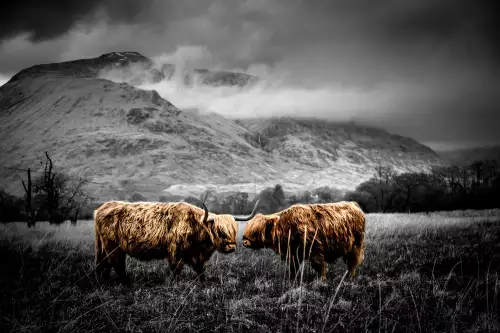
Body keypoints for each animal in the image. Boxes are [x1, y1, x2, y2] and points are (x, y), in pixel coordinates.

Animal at [94, 198, 260, 282]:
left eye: (233, 231)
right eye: (220, 231)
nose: (231, 247)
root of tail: (101, 208)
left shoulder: (195, 254)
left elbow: (199, 269)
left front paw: (202, 281)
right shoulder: (175, 251)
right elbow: (176, 269)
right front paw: (173, 282)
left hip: (103, 246)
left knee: (103, 263)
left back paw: (104, 280)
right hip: (113, 246)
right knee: (116, 263)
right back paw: (127, 282)